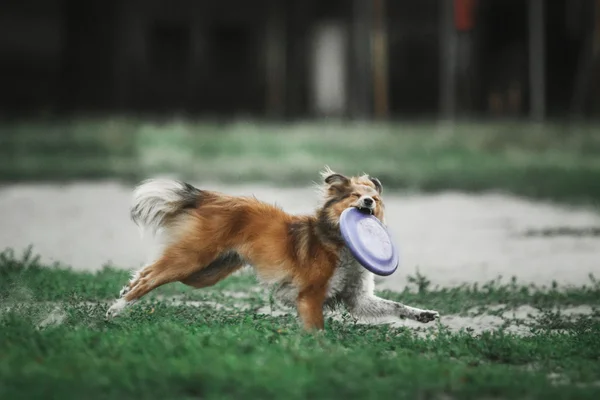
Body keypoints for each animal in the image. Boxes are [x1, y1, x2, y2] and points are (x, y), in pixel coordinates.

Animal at [105, 167, 438, 330]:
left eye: (376, 199)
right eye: (354, 195)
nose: (368, 201)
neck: (338, 242)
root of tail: (209, 197)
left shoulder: (357, 300)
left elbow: (395, 306)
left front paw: (423, 314)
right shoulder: (309, 297)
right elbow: (317, 330)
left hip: (205, 273)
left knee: (148, 271)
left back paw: (125, 291)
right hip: (192, 260)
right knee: (151, 277)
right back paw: (116, 309)